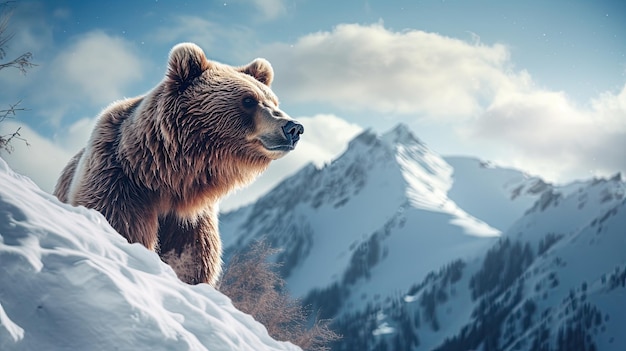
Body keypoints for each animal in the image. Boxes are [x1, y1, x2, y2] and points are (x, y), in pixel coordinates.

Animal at [54, 42, 304, 288]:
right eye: (248, 100)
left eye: (273, 101)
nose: (293, 127)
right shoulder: (119, 184)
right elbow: (122, 227)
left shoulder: (190, 222)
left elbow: (191, 264)